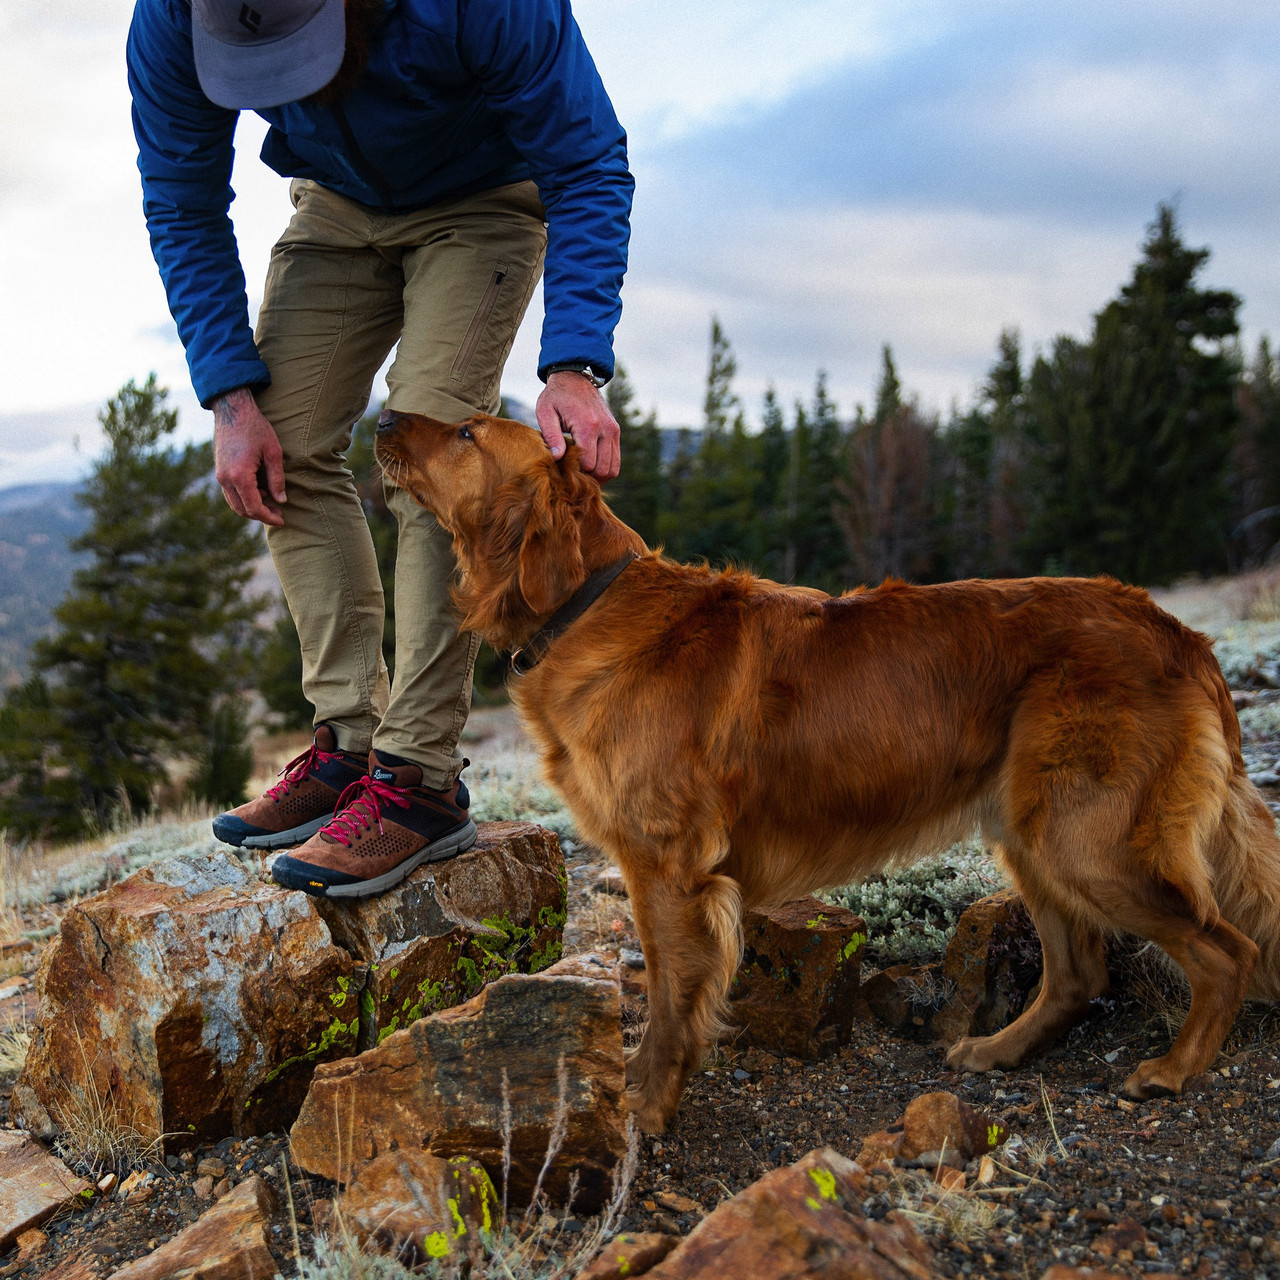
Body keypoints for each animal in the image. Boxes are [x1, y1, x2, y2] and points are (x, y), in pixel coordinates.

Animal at [373, 407, 1280, 1131]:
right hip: (1031, 831)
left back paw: (1174, 1069)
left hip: (1087, 838)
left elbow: (669, 997)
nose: (382, 416)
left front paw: (647, 1103)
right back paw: (998, 1050)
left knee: (1226, 950)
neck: (584, 605)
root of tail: (1179, 633)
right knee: (1080, 970)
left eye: (467, 433)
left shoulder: (667, 865)